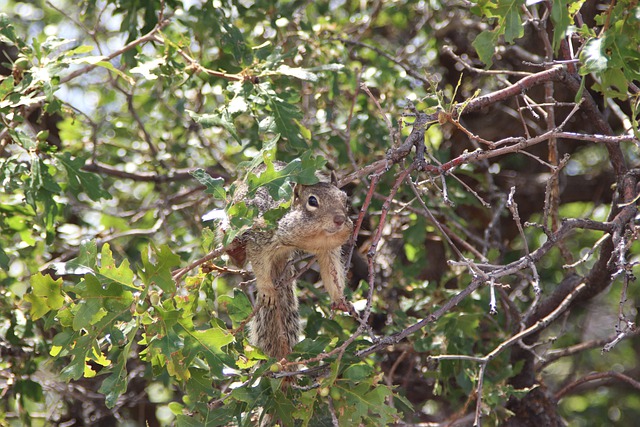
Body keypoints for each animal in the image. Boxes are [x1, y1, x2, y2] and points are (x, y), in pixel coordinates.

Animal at [228, 166, 352, 362]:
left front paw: (339, 298)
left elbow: (332, 272)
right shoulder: (262, 235)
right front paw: (266, 289)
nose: (340, 219)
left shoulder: (329, 250)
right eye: (312, 201)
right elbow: (257, 259)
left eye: (345, 200)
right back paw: (236, 253)